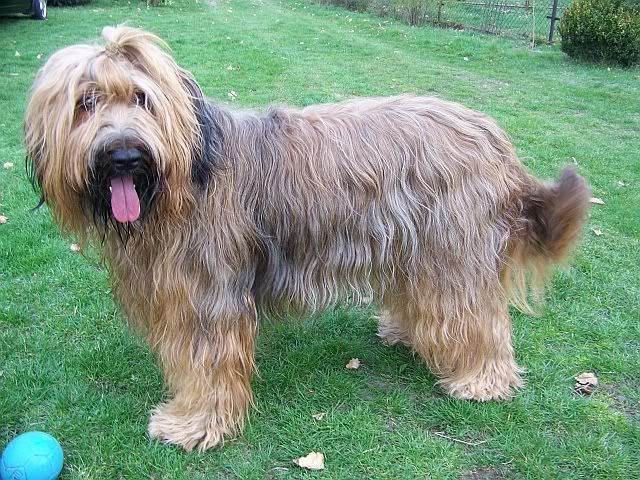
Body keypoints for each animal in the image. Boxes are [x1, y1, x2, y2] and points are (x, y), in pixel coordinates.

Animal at [24, 26, 590, 451]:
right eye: (86, 102)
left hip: (452, 252)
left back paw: (480, 381)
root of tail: (493, 138)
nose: (123, 155)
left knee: (476, 316)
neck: (183, 177)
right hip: (414, 248)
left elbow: (207, 366)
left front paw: (193, 426)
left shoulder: (208, 299)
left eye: (143, 100)